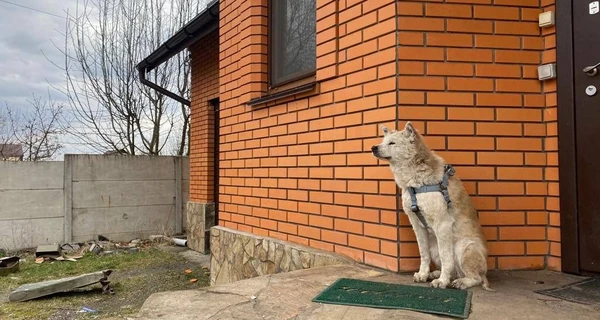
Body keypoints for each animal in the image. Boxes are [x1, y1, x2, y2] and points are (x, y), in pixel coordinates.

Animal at [370, 121, 492, 292]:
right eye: (382, 141)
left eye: (392, 143)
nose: (373, 147)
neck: (416, 182)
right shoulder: (417, 224)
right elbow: (423, 253)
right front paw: (423, 274)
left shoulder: (442, 224)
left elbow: (446, 257)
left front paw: (442, 282)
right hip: (436, 246)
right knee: (454, 270)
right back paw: (436, 274)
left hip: (465, 247)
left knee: (476, 277)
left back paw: (460, 281)